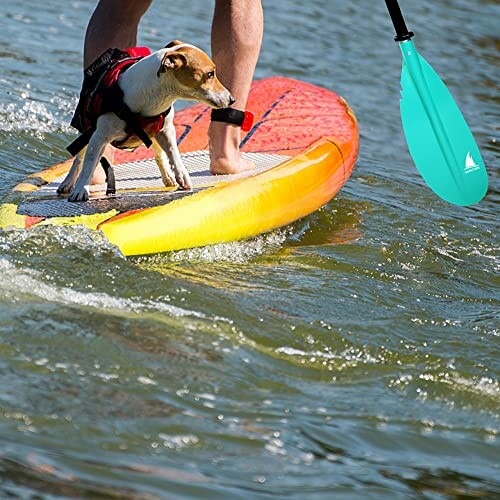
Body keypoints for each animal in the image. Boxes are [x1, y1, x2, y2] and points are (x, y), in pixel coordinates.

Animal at [58, 41, 234, 201]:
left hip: (154, 135)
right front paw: (81, 189)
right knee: (79, 159)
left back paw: (168, 176)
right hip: (86, 135)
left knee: (159, 154)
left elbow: (174, 153)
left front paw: (182, 175)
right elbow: (88, 163)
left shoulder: (166, 130)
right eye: (210, 74)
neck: (154, 98)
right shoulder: (99, 136)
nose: (232, 99)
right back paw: (68, 183)